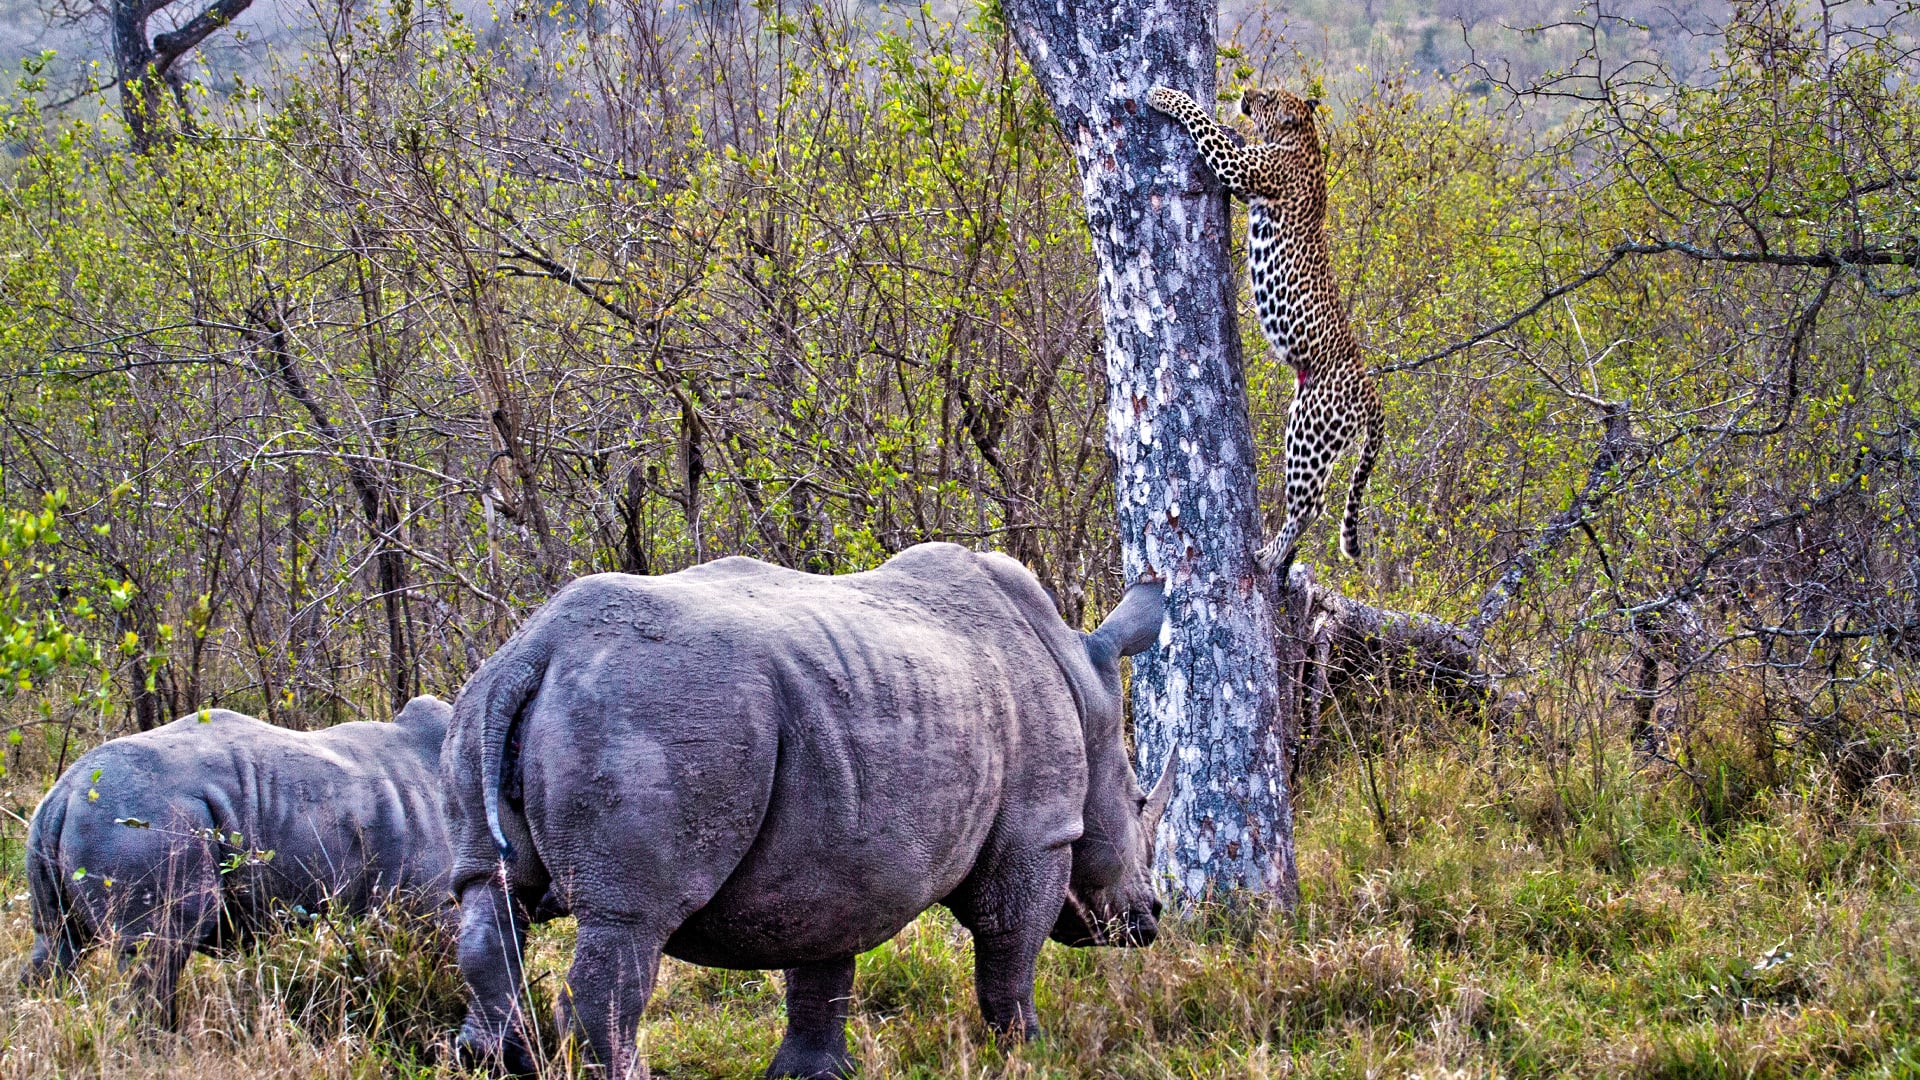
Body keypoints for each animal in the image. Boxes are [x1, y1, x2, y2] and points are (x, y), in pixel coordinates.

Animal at [20, 695, 456, 1025]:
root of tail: (64, 791)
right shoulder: (433, 906)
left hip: (74, 827)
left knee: (58, 943)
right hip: (140, 821)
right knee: (155, 955)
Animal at [445, 542, 1174, 1078]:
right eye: (1140, 805)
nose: (1150, 920)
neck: (1082, 686)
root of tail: (540, 650)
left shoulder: (835, 852)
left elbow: (823, 961)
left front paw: (811, 1074)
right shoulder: (1039, 832)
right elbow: (1010, 948)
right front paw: (1029, 1051)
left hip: (488, 704)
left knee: (489, 896)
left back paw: (495, 1061)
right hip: (651, 705)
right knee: (627, 922)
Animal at [1148, 84, 1385, 577]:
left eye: (1270, 97)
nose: (1246, 92)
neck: (1304, 139)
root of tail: (1373, 396)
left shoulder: (1240, 168)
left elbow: (1201, 121)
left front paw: (1164, 94)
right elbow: (1219, 129)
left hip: (1309, 431)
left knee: (1311, 503)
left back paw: (1269, 555)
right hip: (1313, 425)